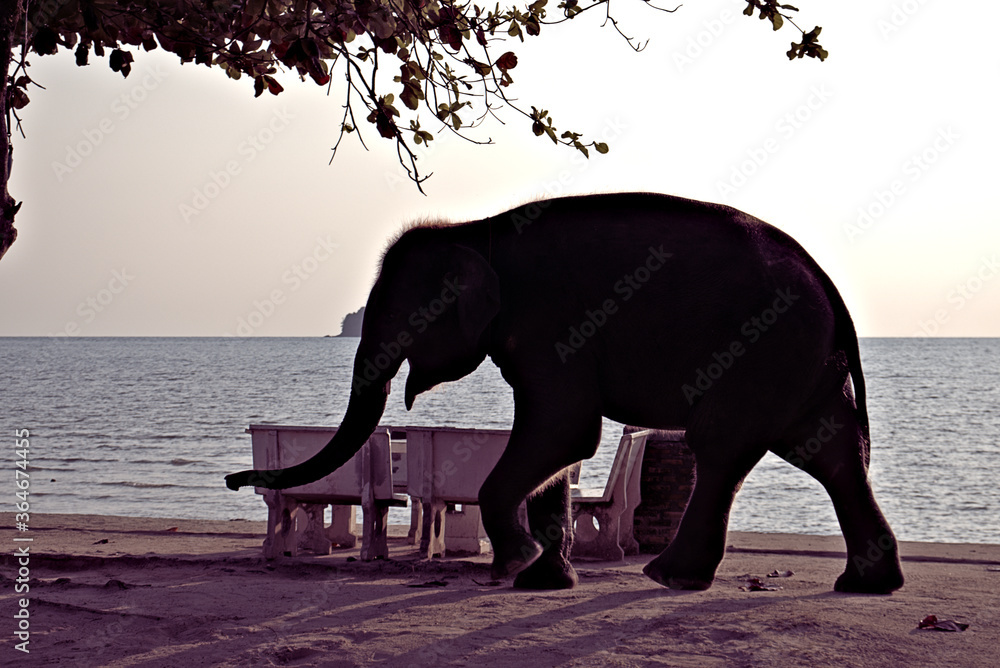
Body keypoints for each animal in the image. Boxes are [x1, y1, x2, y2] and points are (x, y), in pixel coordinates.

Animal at [226, 192, 904, 594]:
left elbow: (564, 430)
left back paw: (670, 578)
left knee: (722, 446)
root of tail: (827, 282)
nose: (235, 479)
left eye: (397, 316)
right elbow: (559, 448)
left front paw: (513, 565)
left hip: (765, 348)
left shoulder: (551, 324)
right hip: (801, 363)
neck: (475, 228)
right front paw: (541, 580)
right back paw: (866, 585)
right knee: (830, 451)